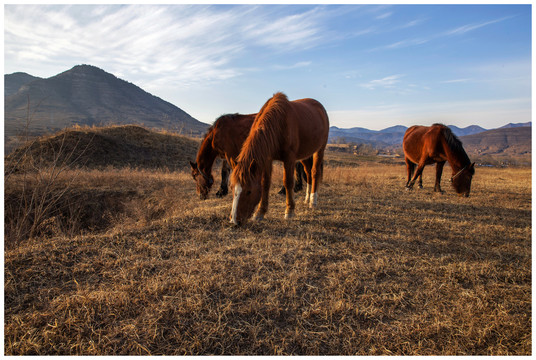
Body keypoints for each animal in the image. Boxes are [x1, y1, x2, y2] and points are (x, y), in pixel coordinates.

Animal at [229, 92, 328, 225]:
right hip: (304, 154)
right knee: (308, 173)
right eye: (232, 188)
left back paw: (313, 201)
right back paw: (307, 198)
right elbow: (265, 183)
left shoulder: (289, 159)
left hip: (320, 150)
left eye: (248, 191)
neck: (280, 123)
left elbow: (288, 182)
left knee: (314, 172)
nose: (234, 221)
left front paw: (289, 211)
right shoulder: (267, 159)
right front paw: (260, 213)